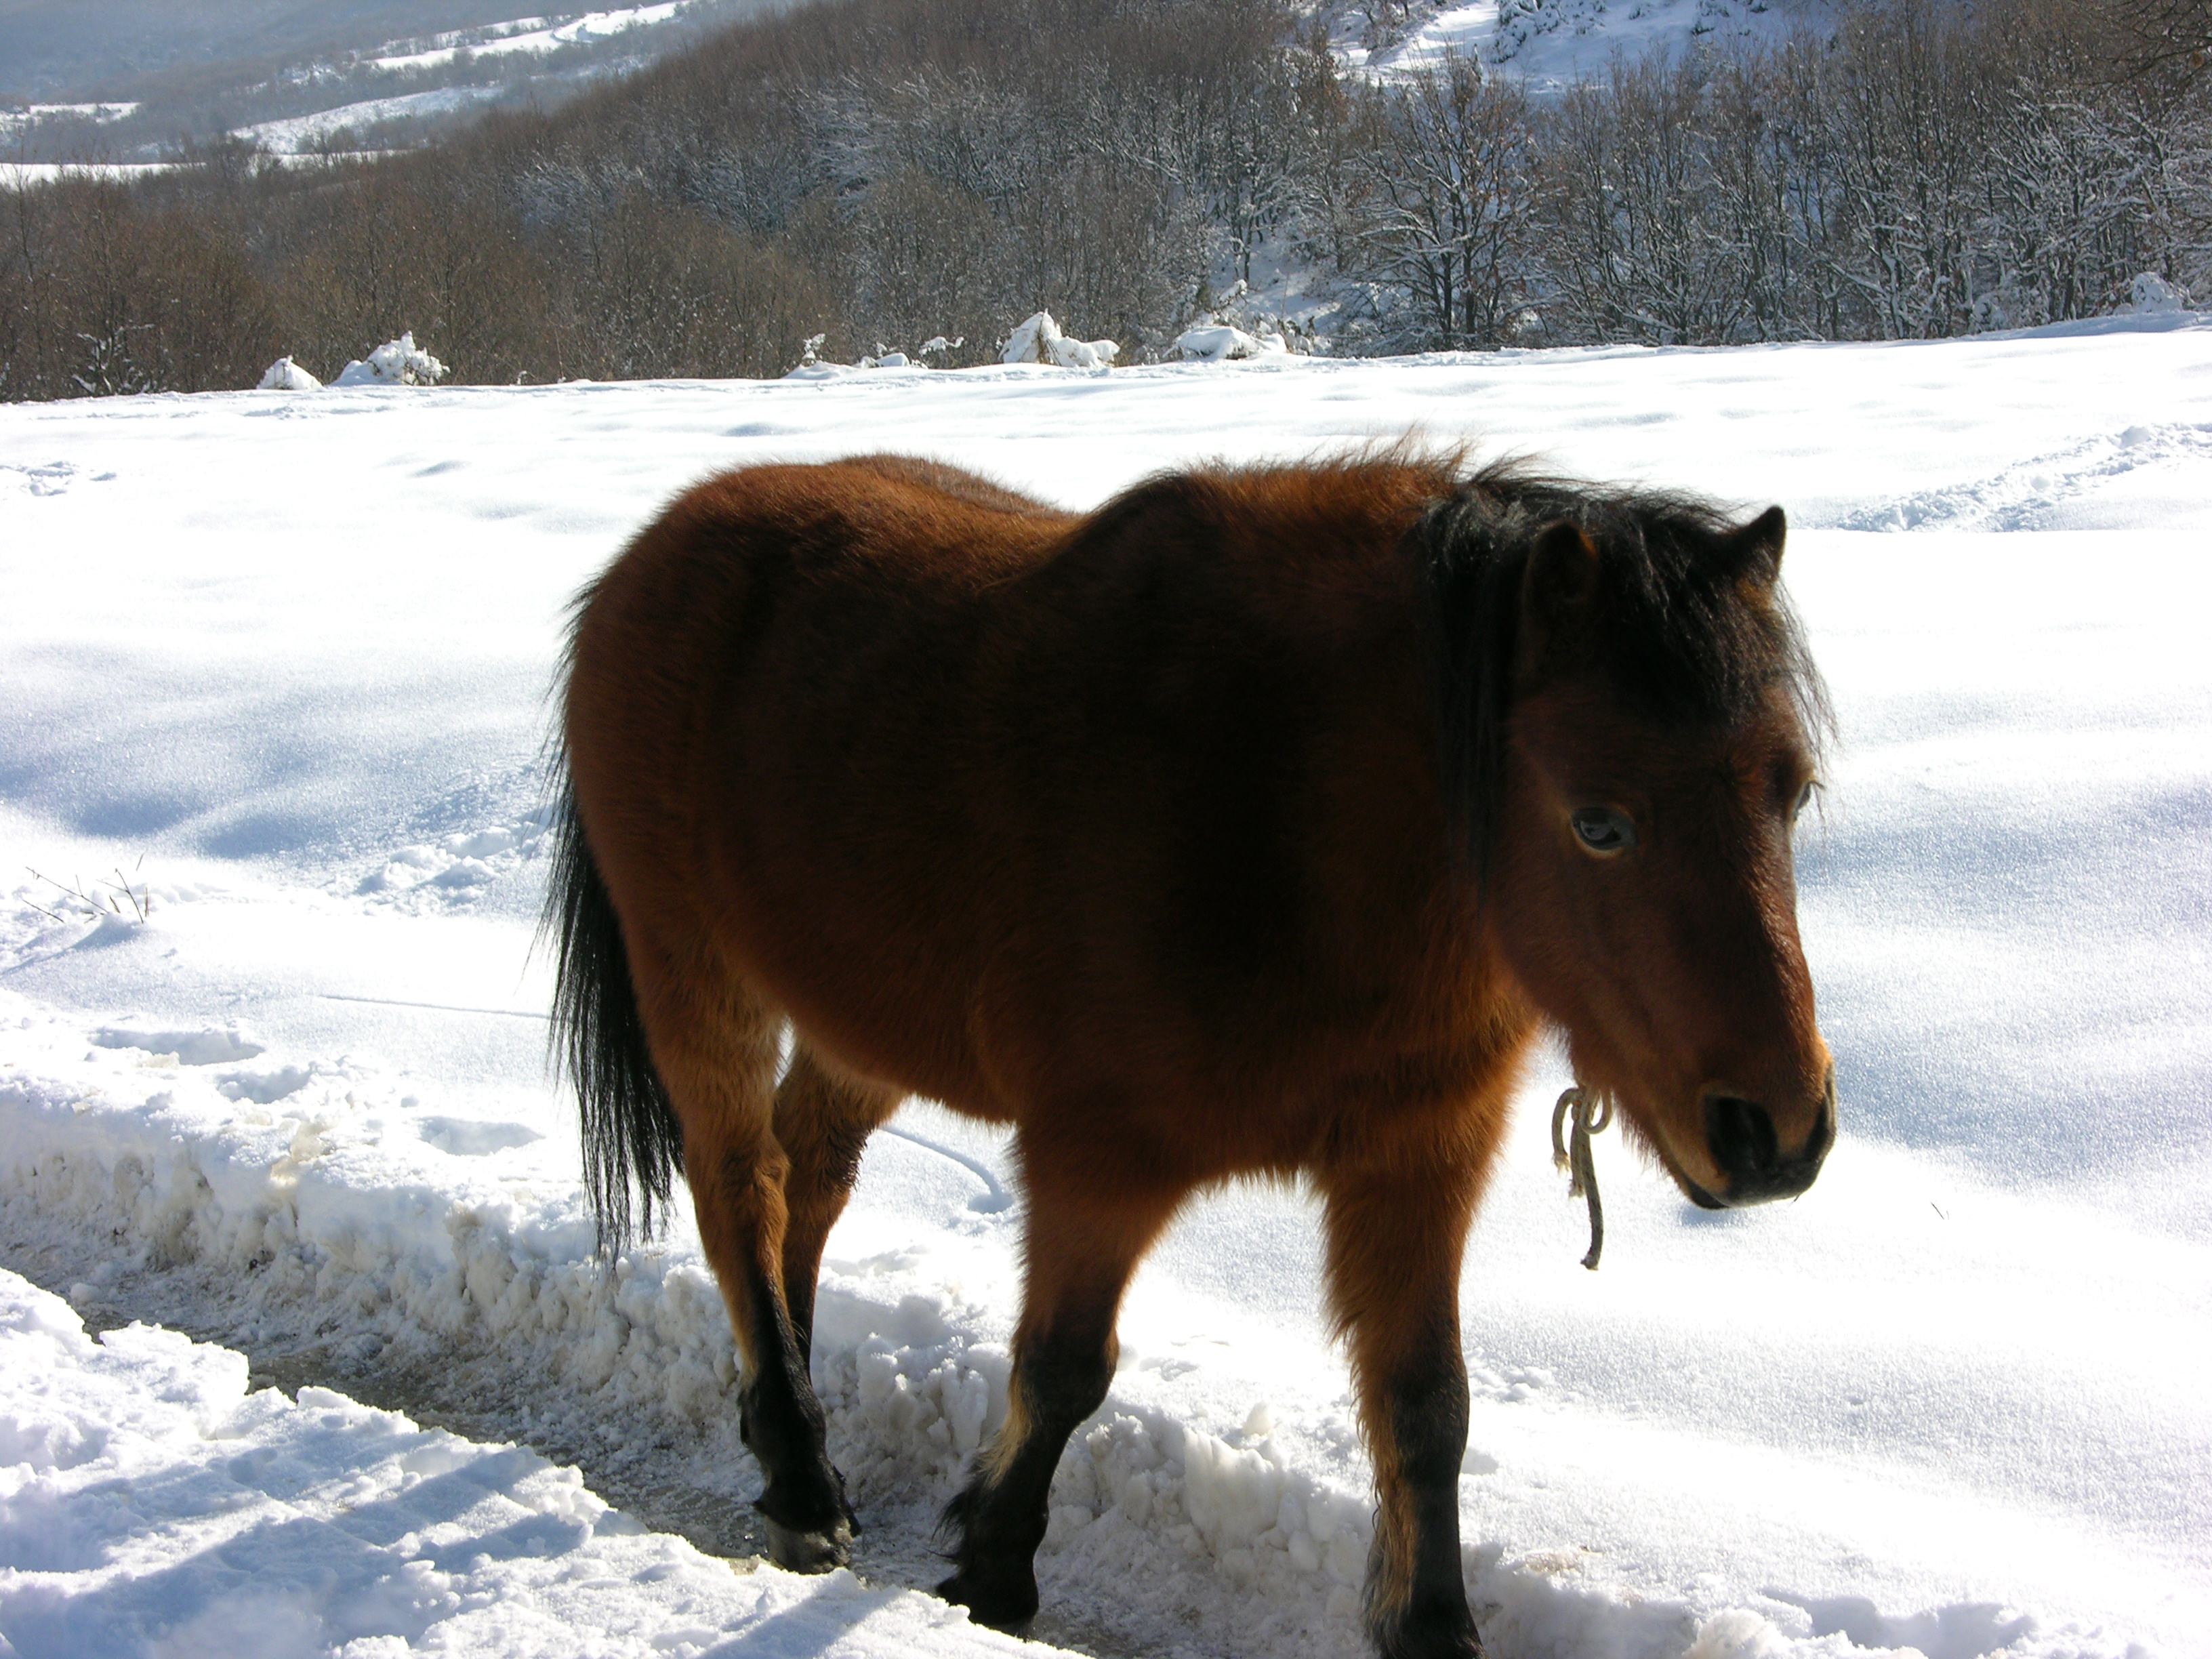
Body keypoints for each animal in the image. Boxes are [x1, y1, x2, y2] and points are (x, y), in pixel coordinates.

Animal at [544, 451, 1840, 1659]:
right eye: (1598, 822)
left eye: (1793, 790)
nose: (1778, 1131)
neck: (1271, 811)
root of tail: (656, 549)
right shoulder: (1099, 1159)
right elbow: (1063, 1368)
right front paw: (990, 1573)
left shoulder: (1415, 1161)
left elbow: (1426, 1406)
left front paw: (1430, 1624)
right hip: (694, 973)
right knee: (742, 1188)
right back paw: (802, 1478)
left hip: (856, 1018)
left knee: (807, 1178)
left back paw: (796, 1413)